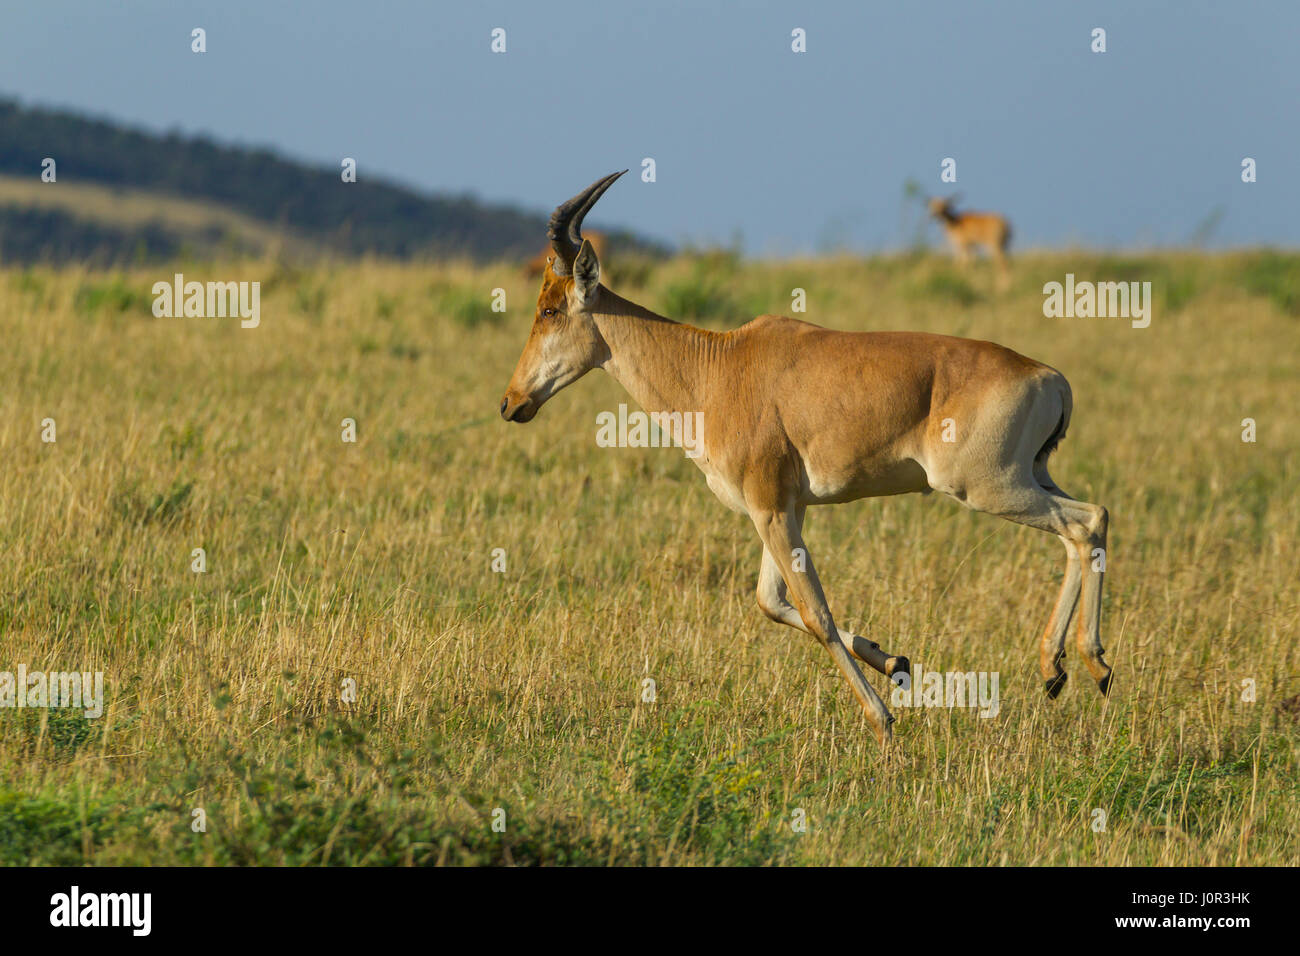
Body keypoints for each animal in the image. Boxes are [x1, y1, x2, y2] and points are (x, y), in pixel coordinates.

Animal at [501, 174, 1112, 749]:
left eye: (550, 308)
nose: (512, 403)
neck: (720, 366)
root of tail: (1049, 376)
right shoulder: (785, 509)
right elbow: (771, 604)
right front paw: (896, 663)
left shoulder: (771, 508)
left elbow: (817, 612)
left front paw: (883, 720)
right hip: (1032, 477)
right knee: (1080, 530)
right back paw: (1056, 669)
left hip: (987, 487)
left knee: (1089, 520)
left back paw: (1095, 665)